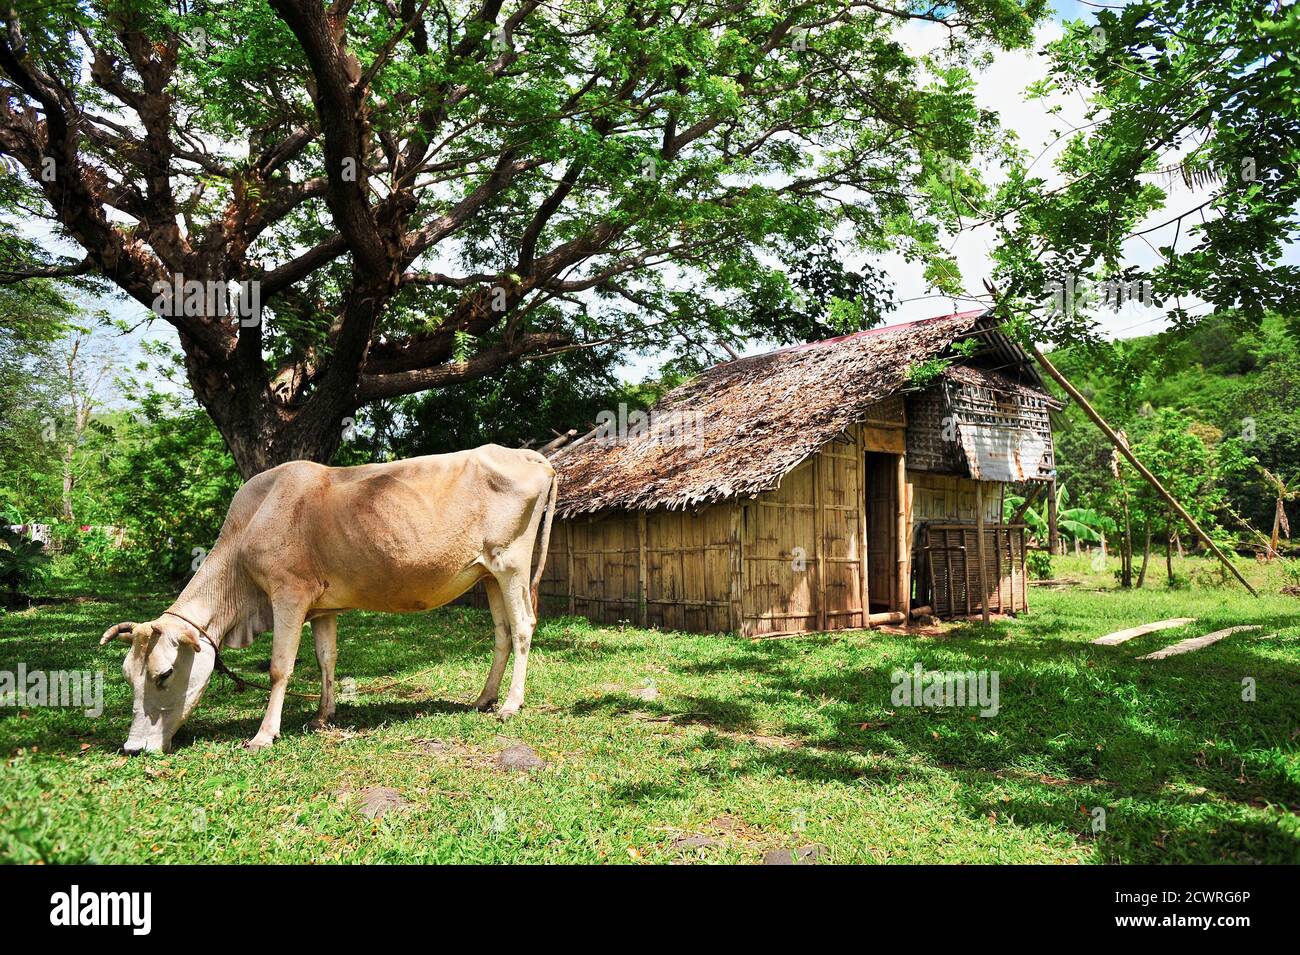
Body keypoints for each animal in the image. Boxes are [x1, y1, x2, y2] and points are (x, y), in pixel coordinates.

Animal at [96, 446, 553, 753]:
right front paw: (322, 716)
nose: (133, 748)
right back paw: (484, 699)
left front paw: (264, 734)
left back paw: (510, 704)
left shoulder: (288, 594)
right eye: (127, 676)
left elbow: (281, 667)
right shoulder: (322, 607)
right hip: (487, 572)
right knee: (502, 632)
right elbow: (325, 658)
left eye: (164, 674)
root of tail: (529, 455)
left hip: (511, 563)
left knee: (523, 627)